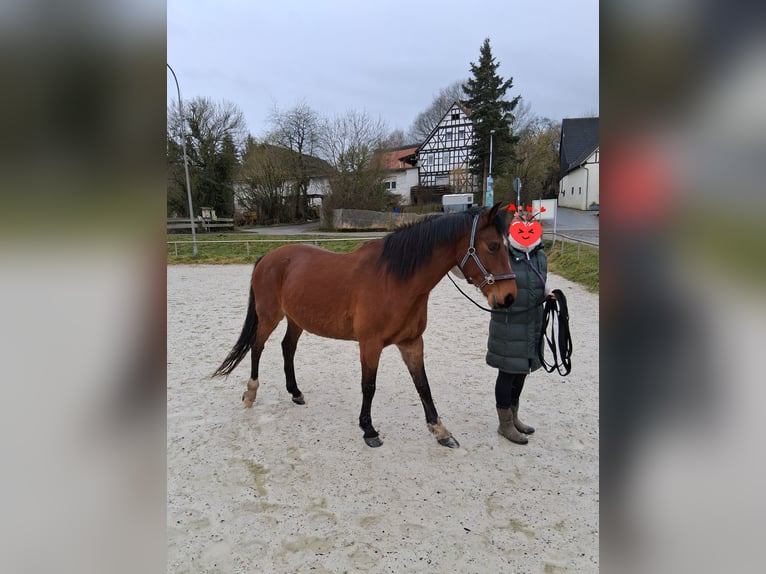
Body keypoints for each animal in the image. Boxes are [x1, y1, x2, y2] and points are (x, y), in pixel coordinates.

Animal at [213, 204, 517, 448]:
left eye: (507, 247)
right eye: (493, 246)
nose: (508, 297)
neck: (396, 279)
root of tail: (267, 257)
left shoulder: (412, 342)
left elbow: (423, 385)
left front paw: (440, 430)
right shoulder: (370, 344)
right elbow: (368, 385)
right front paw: (369, 429)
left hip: (296, 319)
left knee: (287, 348)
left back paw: (296, 393)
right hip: (269, 316)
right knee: (257, 347)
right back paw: (250, 393)